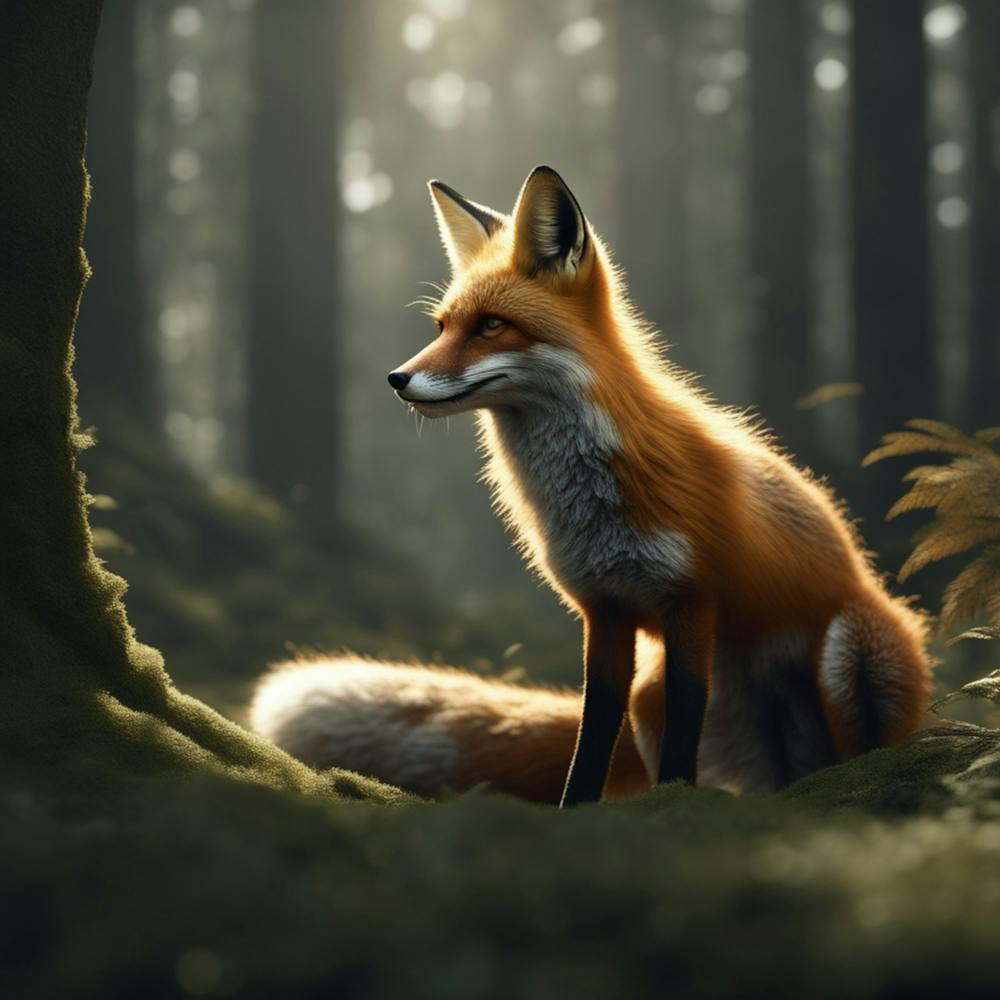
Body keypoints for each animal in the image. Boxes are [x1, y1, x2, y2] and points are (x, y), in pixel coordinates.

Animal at [252, 165, 932, 806]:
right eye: (443, 326)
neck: (589, 505)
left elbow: (683, 719)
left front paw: (673, 805)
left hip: (849, 653)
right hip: (656, 702)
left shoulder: (693, 599)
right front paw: (576, 811)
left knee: (857, 748)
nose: (396, 379)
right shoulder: (604, 609)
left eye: (491, 326)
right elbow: (592, 732)